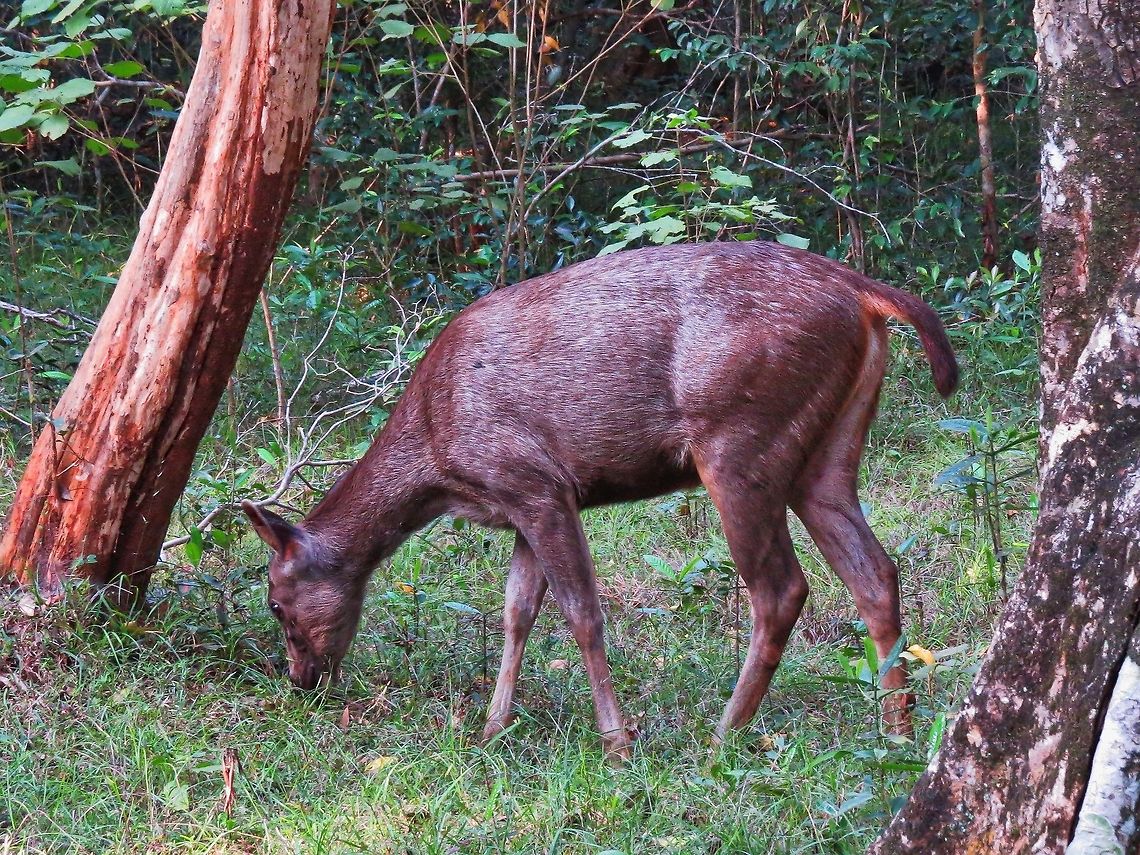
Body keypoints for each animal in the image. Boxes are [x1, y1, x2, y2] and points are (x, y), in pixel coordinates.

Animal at [243, 240, 958, 761]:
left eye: (276, 602)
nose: (301, 680)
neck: (437, 462)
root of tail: (864, 294)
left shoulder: (535, 483)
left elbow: (582, 613)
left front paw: (616, 743)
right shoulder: (521, 505)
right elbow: (516, 613)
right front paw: (491, 729)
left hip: (741, 440)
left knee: (782, 588)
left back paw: (724, 736)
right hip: (827, 453)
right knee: (875, 572)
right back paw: (897, 730)